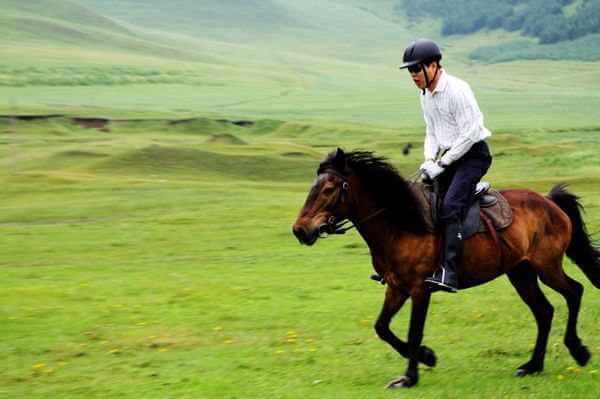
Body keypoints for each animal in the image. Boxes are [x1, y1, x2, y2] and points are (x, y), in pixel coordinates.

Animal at [292, 148, 600, 390]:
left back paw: (579, 351)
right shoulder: (396, 287)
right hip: (521, 273)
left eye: (328, 189)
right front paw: (427, 356)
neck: (399, 224)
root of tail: (549, 201)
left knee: (574, 292)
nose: (300, 230)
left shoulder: (420, 289)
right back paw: (533, 365)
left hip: (547, 267)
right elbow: (382, 327)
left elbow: (414, 331)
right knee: (544, 311)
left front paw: (410, 377)